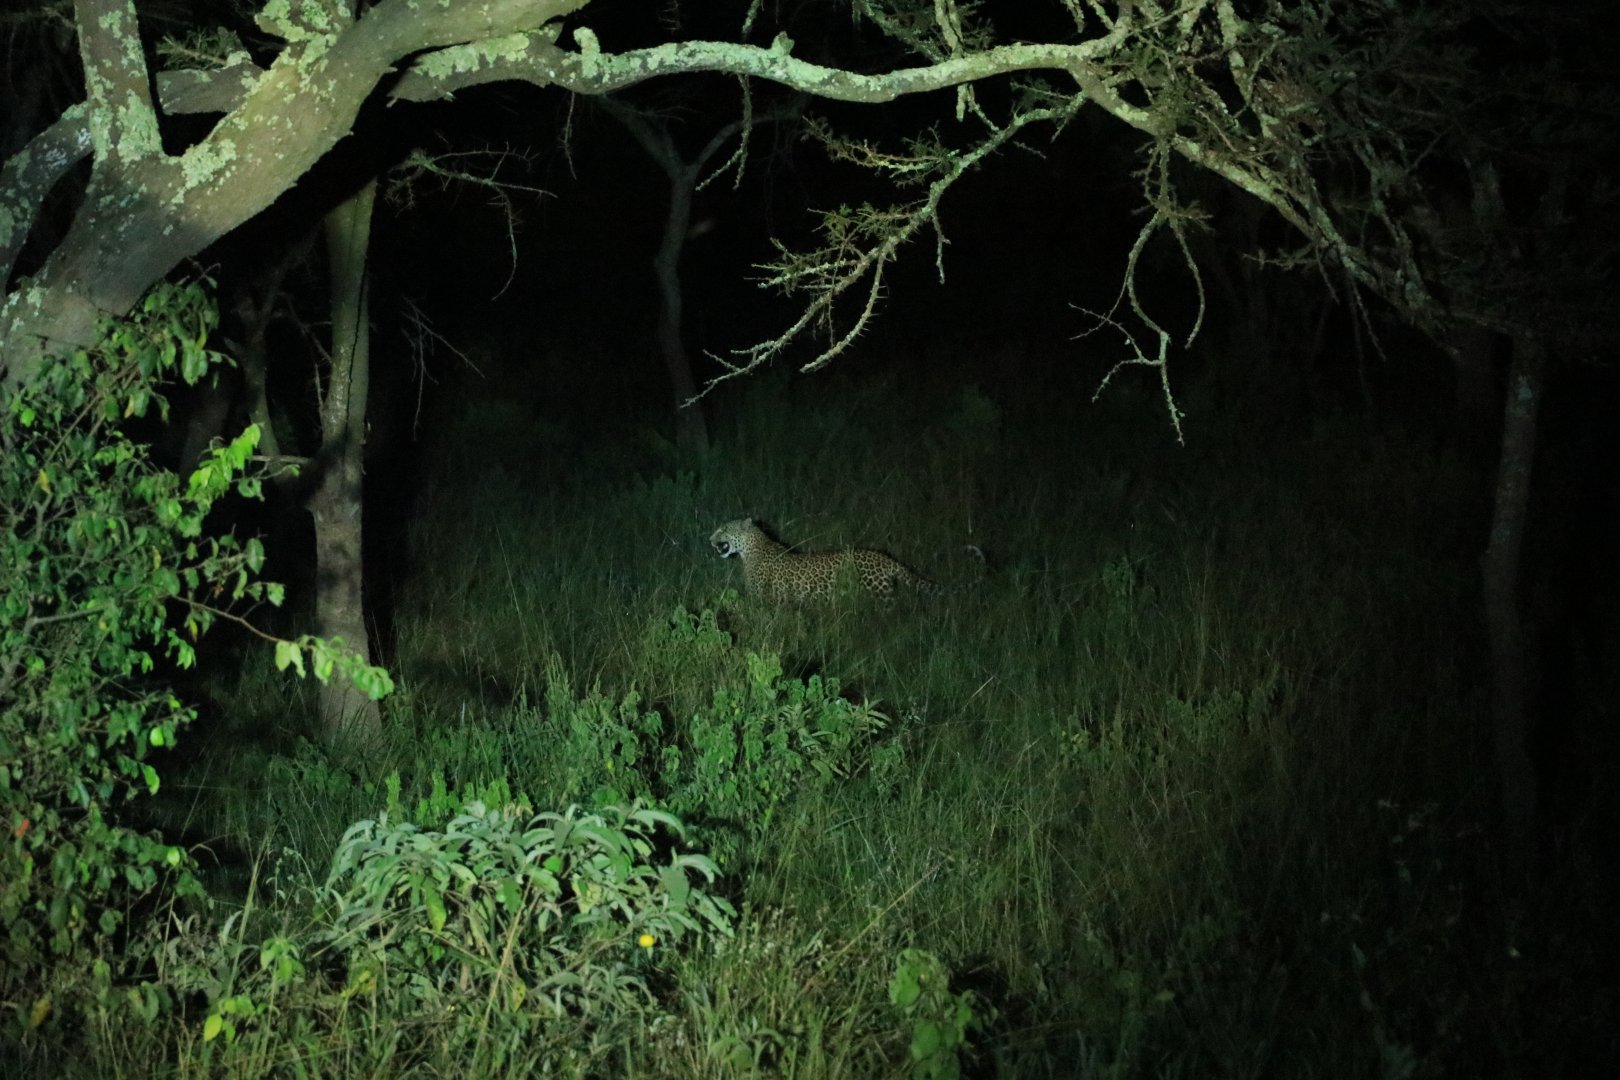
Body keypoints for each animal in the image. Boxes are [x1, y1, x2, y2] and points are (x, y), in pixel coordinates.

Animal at [709, 518, 977, 602]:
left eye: (723, 528)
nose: (710, 538)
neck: (752, 547)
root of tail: (884, 557)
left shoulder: (761, 598)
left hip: (881, 595)